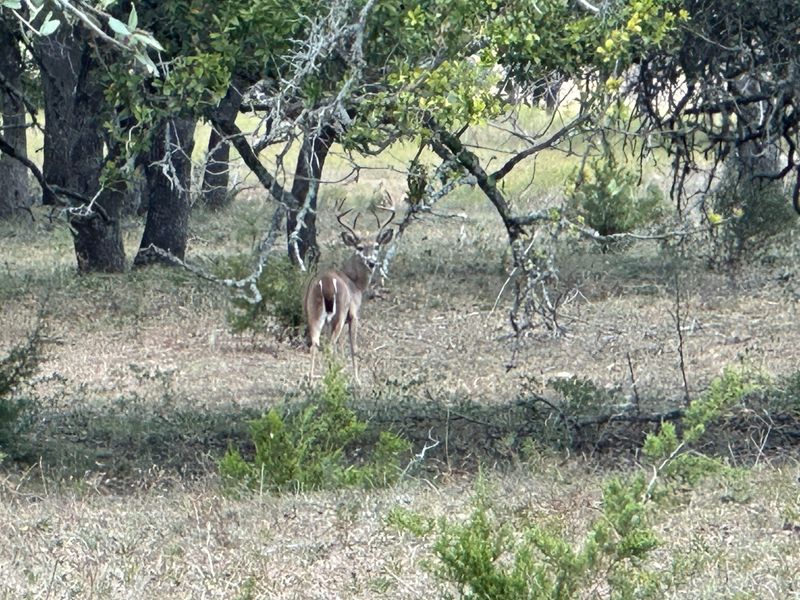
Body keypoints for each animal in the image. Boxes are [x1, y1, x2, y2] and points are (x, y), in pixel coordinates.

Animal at [304, 205, 395, 384]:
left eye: (376, 246)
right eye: (359, 247)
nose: (371, 263)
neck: (356, 283)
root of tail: (325, 283)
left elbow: (340, 348)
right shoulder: (353, 315)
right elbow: (353, 347)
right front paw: (356, 380)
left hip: (314, 312)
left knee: (315, 344)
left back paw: (311, 381)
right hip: (339, 313)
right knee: (329, 346)